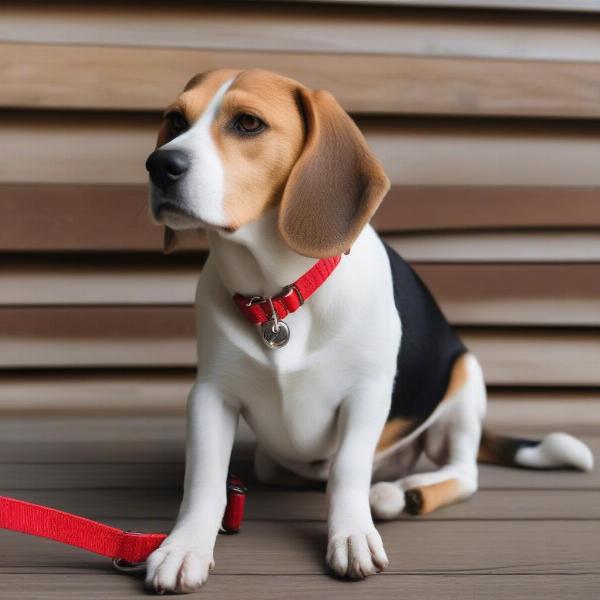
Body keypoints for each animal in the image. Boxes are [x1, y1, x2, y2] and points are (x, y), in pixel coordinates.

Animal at [143, 68, 592, 592]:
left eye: (248, 123)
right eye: (176, 120)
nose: (159, 165)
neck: (278, 295)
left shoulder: (366, 394)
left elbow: (349, 469)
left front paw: (352, 534)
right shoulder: (212, 395)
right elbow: (205, 480)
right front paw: (186, 545)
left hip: (465, 377)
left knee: (462, 471)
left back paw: (401, 494)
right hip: (275, 461)